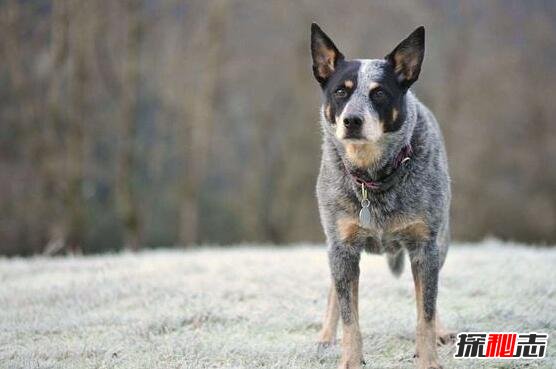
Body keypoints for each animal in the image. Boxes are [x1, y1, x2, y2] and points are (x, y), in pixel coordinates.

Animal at [310, 23, 454, 368]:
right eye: (341, 91)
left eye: (379, 93)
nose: (352, 120)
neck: (372, 178)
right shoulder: (343, 247)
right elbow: (350, 315)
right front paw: (350, 359)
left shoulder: (424, 246)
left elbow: (425, 311)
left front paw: (428, 359)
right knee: (335, 292)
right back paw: (325, 336)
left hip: (441, 242)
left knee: (429, 296)